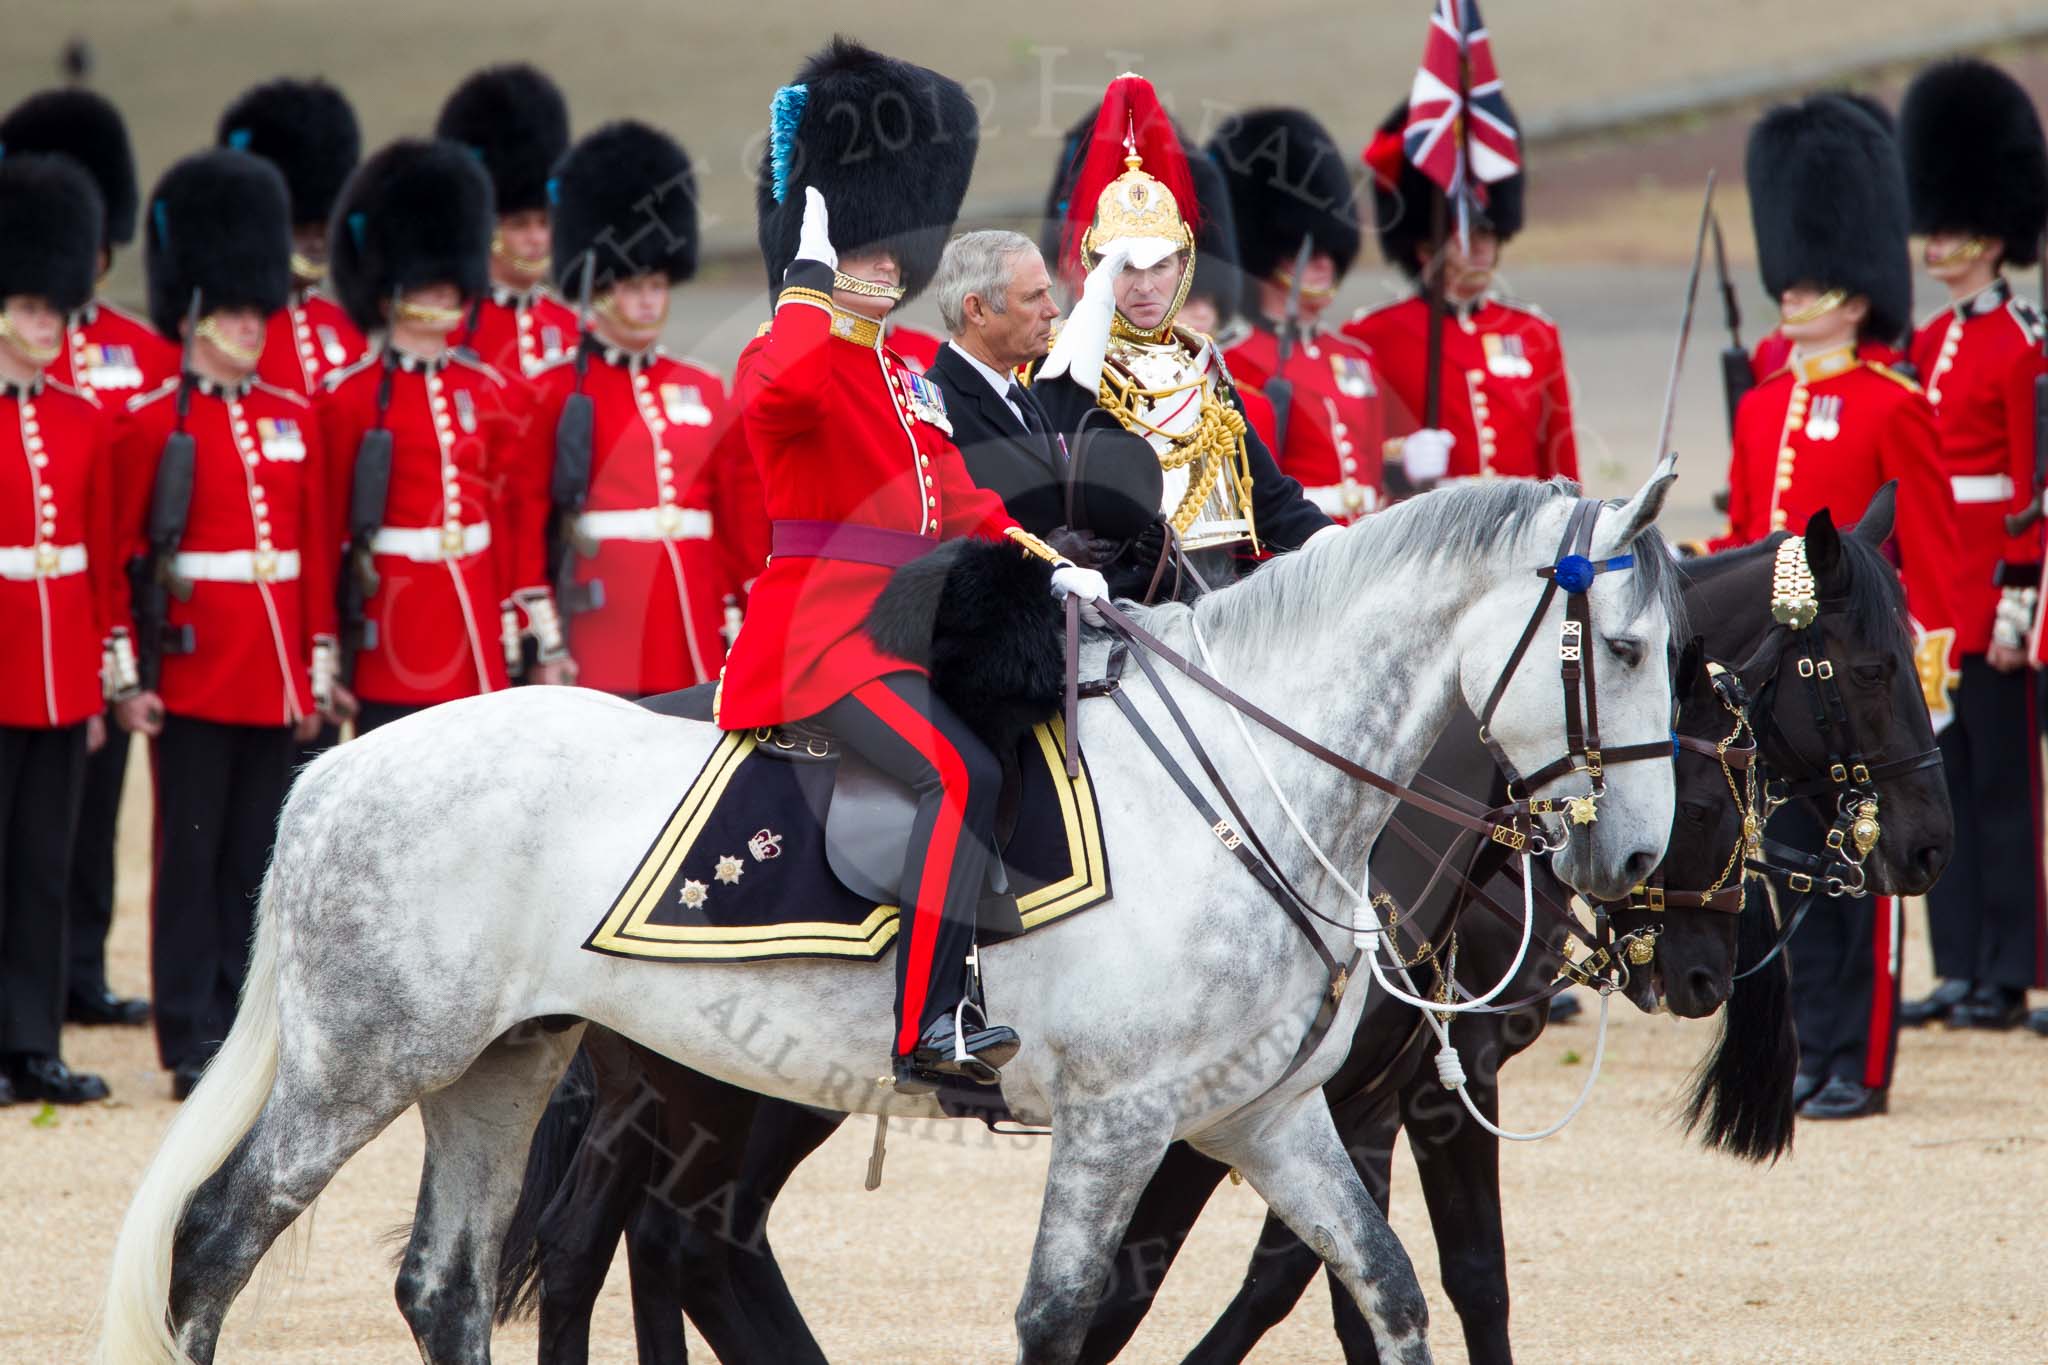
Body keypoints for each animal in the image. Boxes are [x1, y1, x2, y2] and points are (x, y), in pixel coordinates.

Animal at [495, 497, 1949, 1358]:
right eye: (1867, 669)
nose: (1925, 847)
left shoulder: (1377, 1094)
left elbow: (1423, 1277)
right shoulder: (1230, 1113)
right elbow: (1185, 1291)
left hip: (708, 1086)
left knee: (649, 1246)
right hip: (712, 1086)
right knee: (659, 1245)